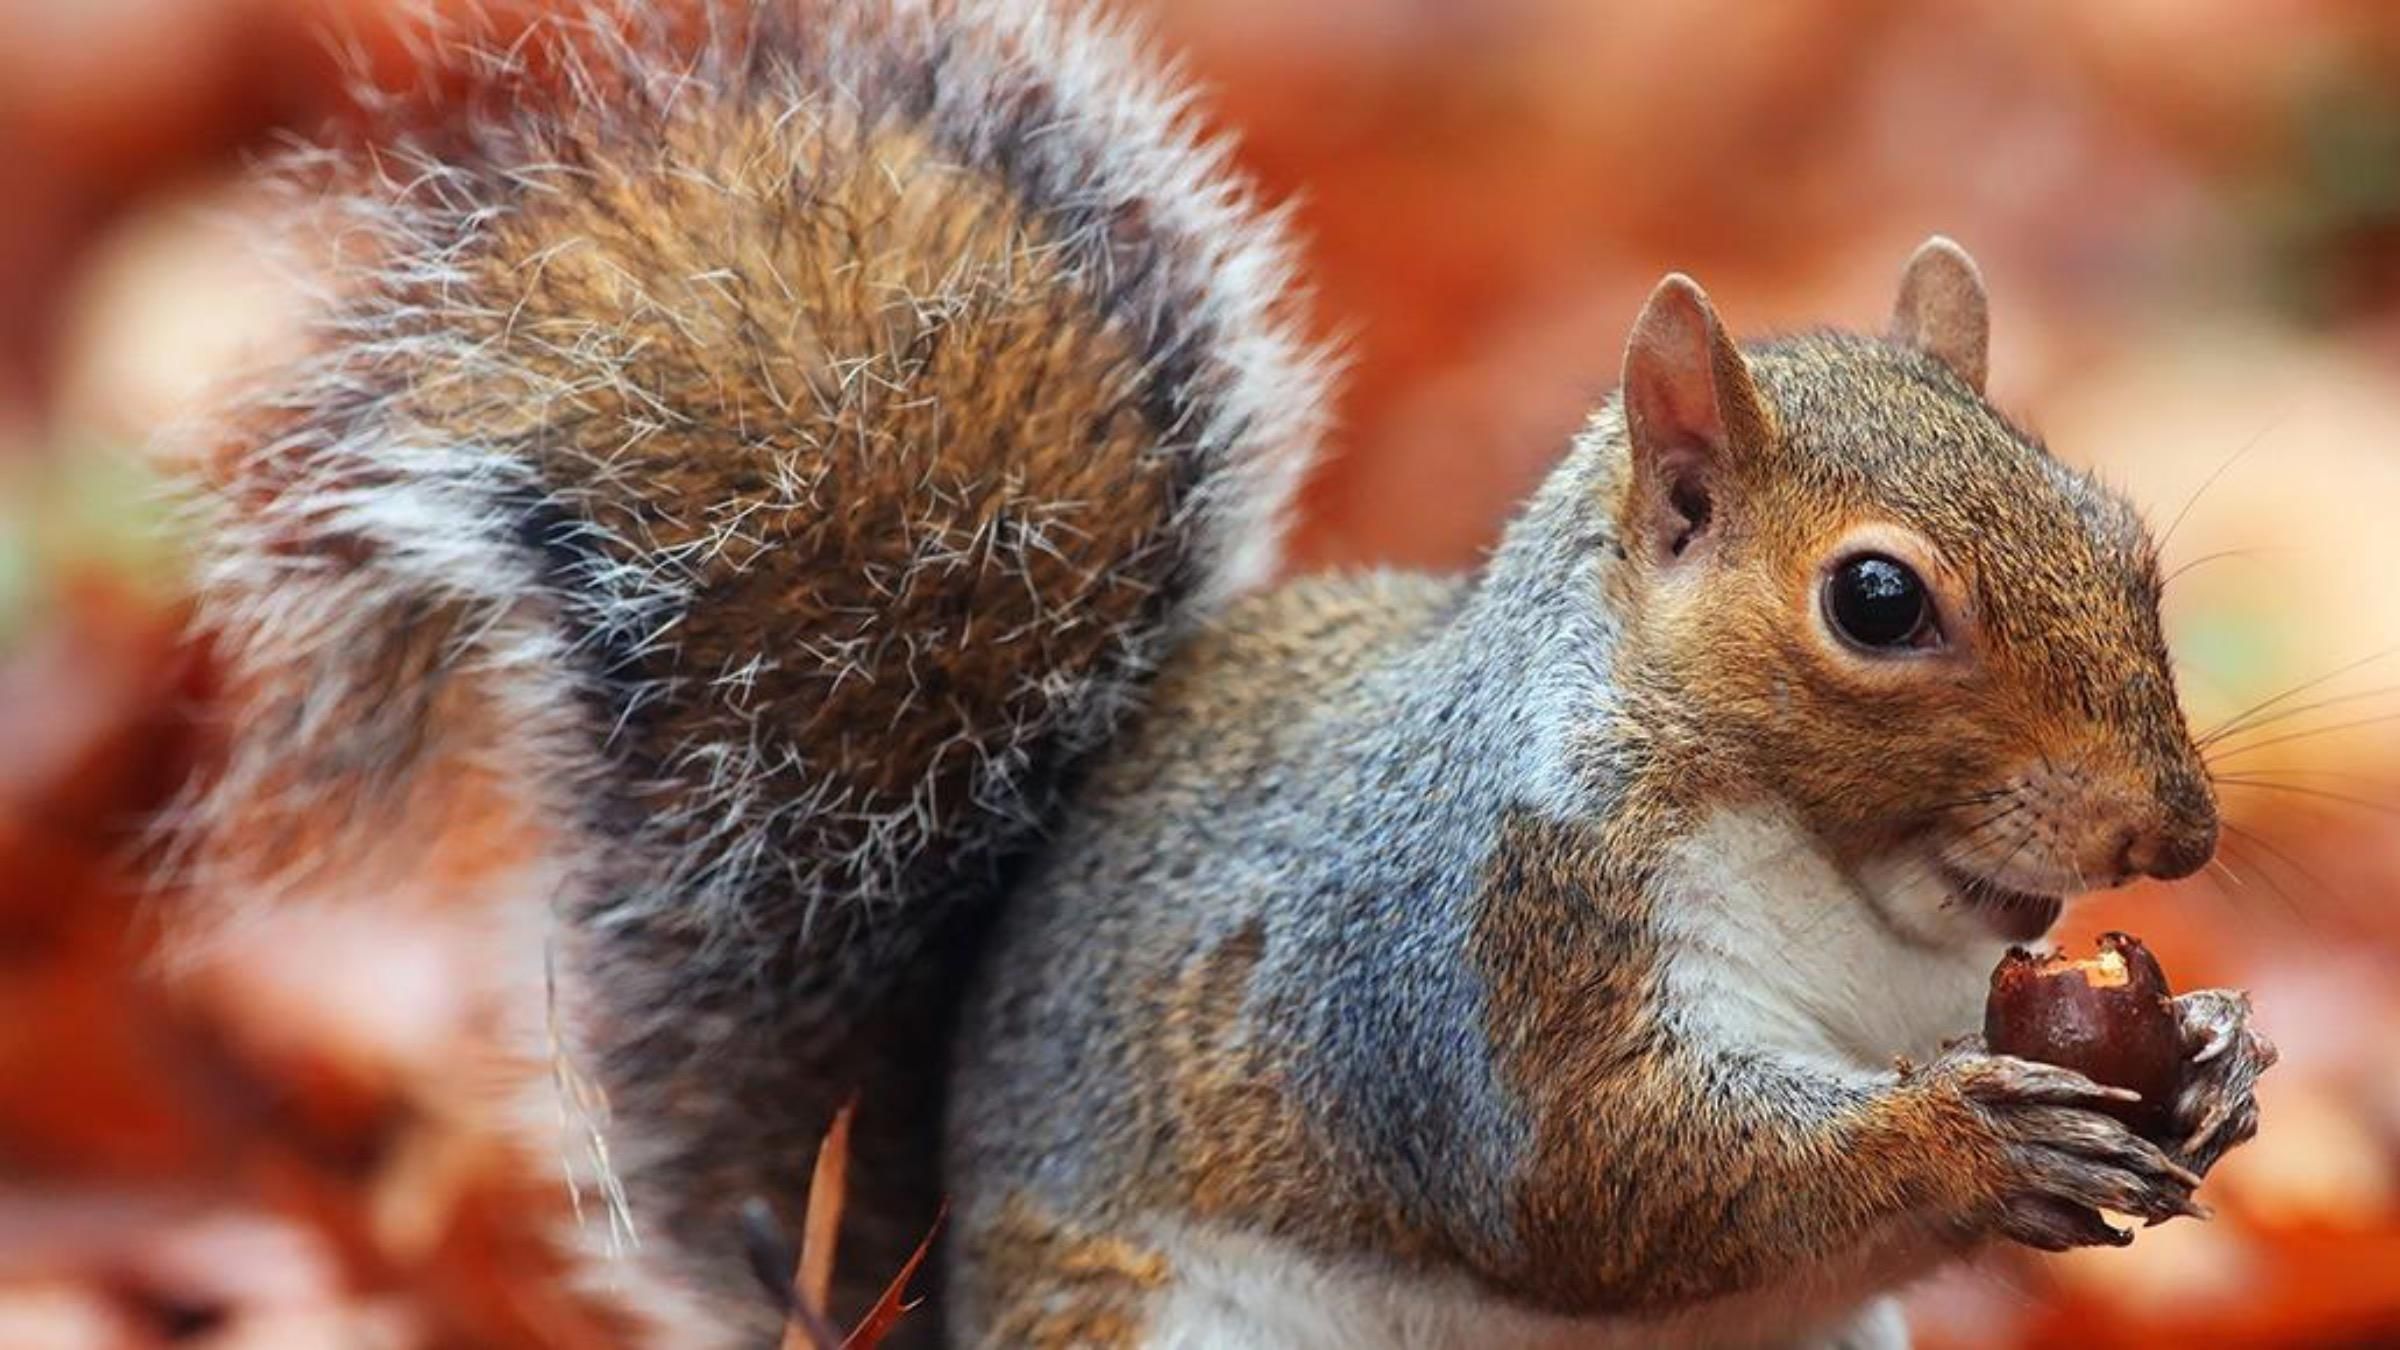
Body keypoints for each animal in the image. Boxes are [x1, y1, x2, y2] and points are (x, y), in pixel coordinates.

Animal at [167, 0, 2276, 1347]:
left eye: (2123, 536)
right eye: (1878, 603)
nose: (2171, 836)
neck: (1857, 907)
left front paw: (2214, 1065)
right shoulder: (1460, 966)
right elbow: (1605, 1187)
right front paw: (1966, 1134)